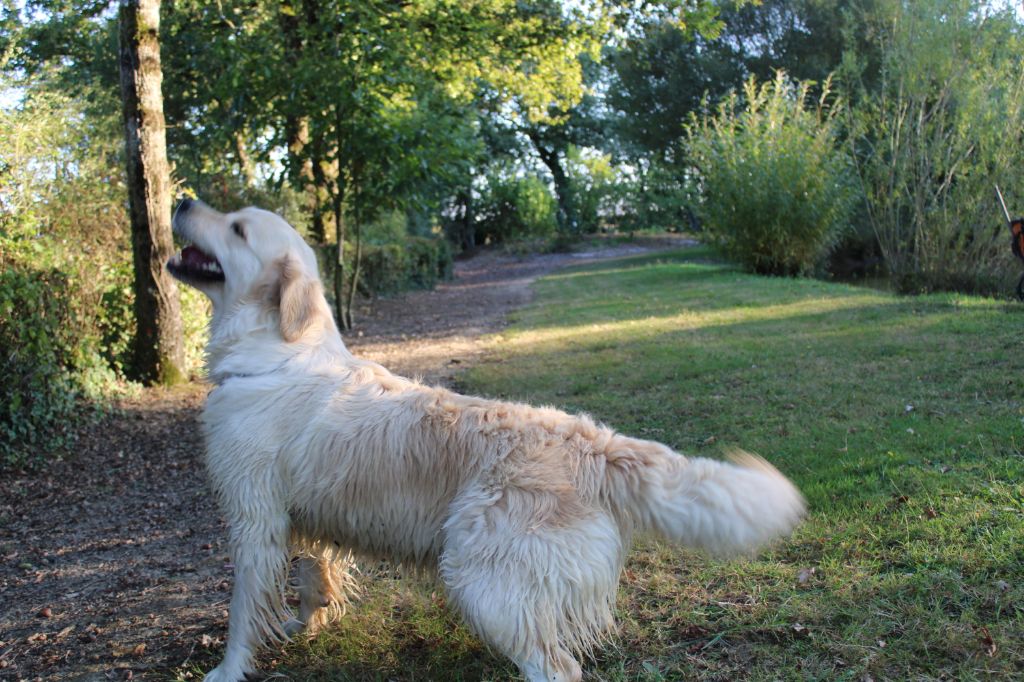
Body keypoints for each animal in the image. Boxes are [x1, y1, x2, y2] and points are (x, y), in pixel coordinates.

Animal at [167, 197, 802, 679]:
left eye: (237, 228)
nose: (183, 199)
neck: (274, 354)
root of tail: (592, 442)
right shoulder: (300, 513)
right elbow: (310, 574)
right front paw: (308, 619)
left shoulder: (253, 518)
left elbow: (243, 612)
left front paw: (228, 670)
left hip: (480, 578)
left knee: (558, 667)